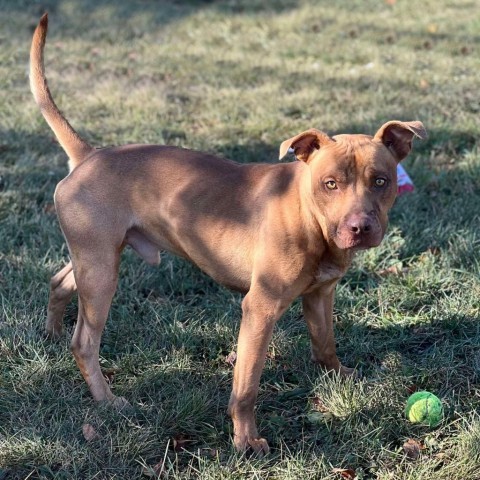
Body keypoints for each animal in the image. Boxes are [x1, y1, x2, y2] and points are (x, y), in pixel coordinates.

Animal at [30, 13, 426, 452]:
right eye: (330, 184)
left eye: (380, 181)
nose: (360, 227)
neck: (309, 217)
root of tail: (90, 155)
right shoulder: (260, 309)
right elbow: (247, 386)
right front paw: (246, 440)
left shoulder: (321, 295)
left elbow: (325, 344)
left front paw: (339, 377)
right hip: (102, 274)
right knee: (84, 341)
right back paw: (107, 399)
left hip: (95, 259)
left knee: (59, 282)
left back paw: (51, 334)